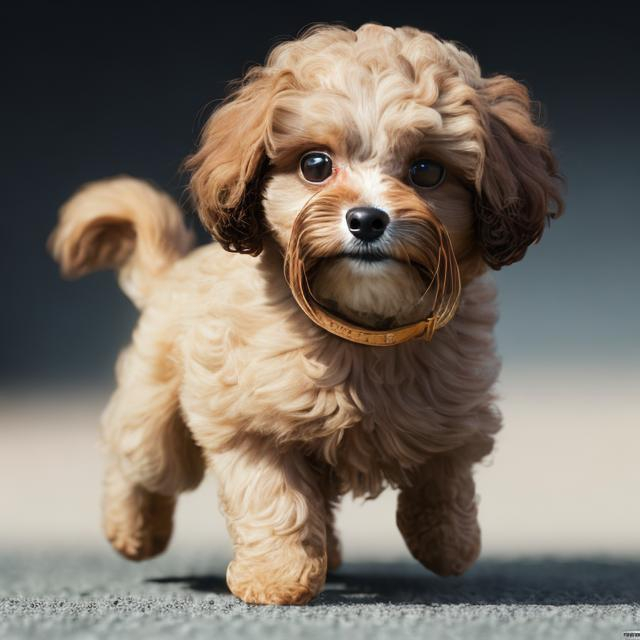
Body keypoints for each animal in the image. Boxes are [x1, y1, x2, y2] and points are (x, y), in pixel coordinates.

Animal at [48, 23, 560, 604]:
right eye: (316, 165)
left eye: (427, 170)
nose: (366, 219)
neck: (361, 327)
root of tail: (173, 270)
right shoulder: (247, 421)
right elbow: (273, 498)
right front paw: (277, 577)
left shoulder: (455, 404)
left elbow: (443, 473)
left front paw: (448, 541)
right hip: (153, 407)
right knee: (139, 461)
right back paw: (134, 531)